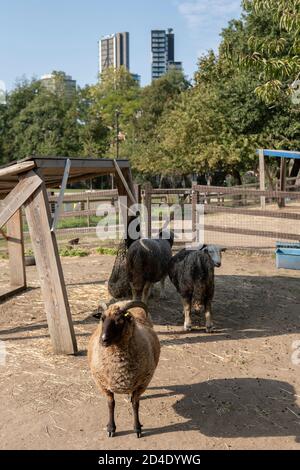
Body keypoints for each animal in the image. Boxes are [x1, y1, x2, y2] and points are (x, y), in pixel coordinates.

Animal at [88, 302, 161, 436]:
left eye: (120, 320)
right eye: (102, 318)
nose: (103, 339)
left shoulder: (142, 383)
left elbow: (135, 404)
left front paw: (137, 428)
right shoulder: (103, 384)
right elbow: (111, 404)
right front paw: (111, 428)